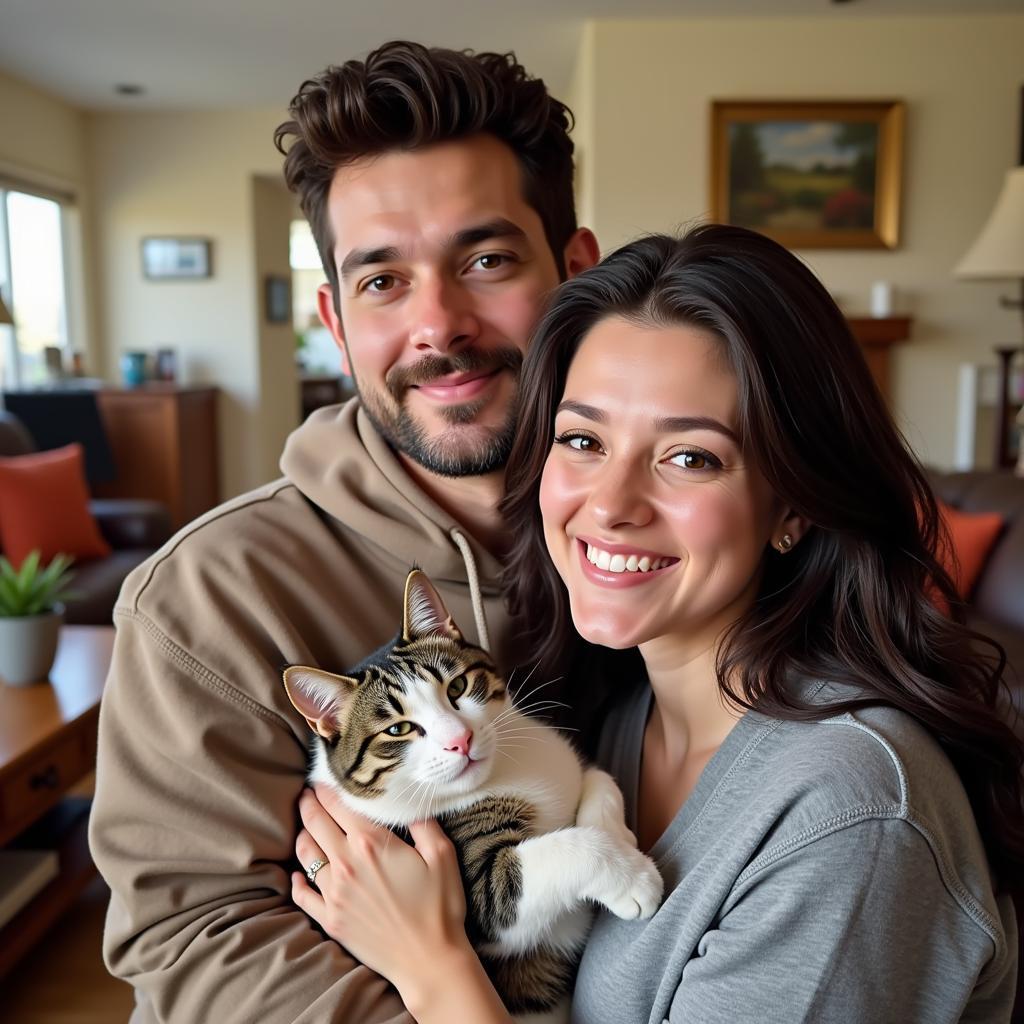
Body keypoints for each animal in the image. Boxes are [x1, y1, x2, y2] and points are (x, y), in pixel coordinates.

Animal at [284, 569, 659, 1024]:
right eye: (397, 729)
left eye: (458, 686)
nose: (459, 740)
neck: (499, 773)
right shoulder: (483, 897)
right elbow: (550, 861)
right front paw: (634, 880)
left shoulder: (566, 760)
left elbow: (599, 779)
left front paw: (618, 836)